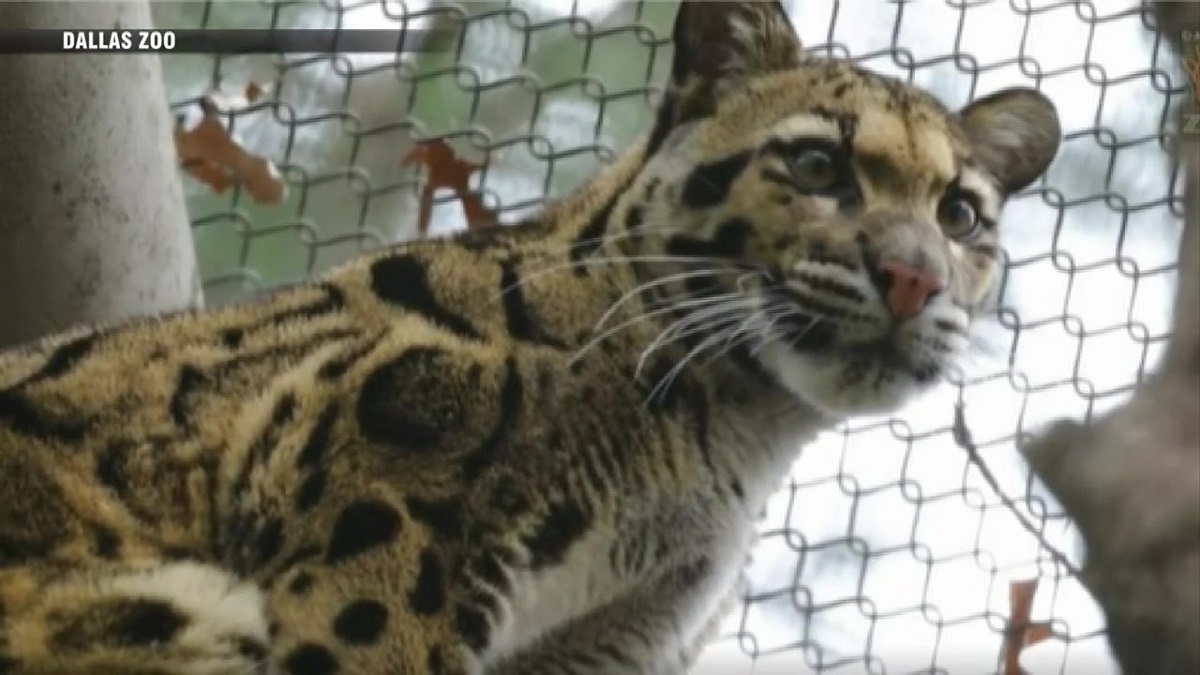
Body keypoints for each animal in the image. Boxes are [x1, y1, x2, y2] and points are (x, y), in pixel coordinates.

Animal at [0, 1, 1061, 673]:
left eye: (961, 215)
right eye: (815, 165)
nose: (916, 277)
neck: (731, 439)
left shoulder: (602, 641)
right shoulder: (382, 517)